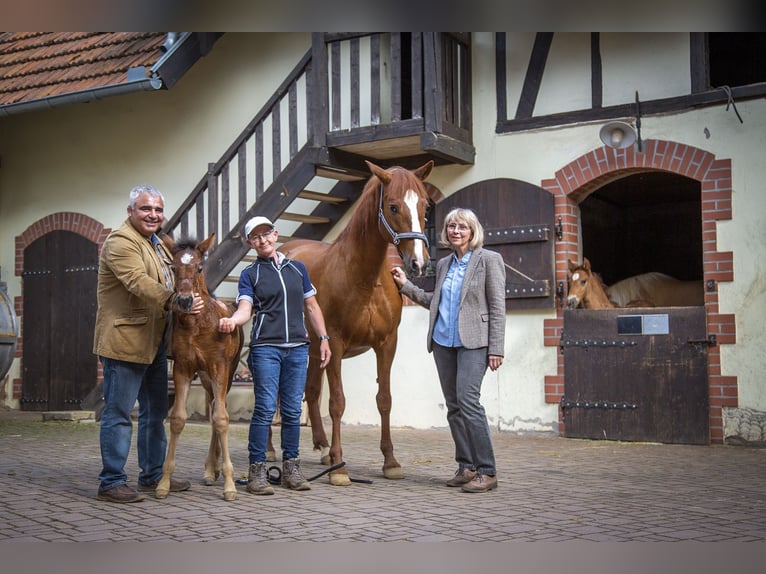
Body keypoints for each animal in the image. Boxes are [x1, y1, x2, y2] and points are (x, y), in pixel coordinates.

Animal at [158, 233, 244, 501]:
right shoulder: (183, 368)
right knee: (213, 406)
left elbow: (222, 419)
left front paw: (230, 485)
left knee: (219, 410)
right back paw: (210, 470)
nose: (185, 300)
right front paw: (164, 483)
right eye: (173, 267)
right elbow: (177, 419)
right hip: (205, 378)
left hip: (226, 374)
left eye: (198, 267)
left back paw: (214, 470)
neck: (197, 325)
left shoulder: (219, 368)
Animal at [279, 160, 433, 485]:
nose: (419, 263)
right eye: (393, 206)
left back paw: (323, 449)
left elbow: (384, 399)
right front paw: (340, 469)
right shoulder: (335, 344)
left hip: (314, 351)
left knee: (311, 392)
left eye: (425, 206)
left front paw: (390, 461)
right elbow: (337, 402)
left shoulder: (386, 344)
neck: (365, 278)